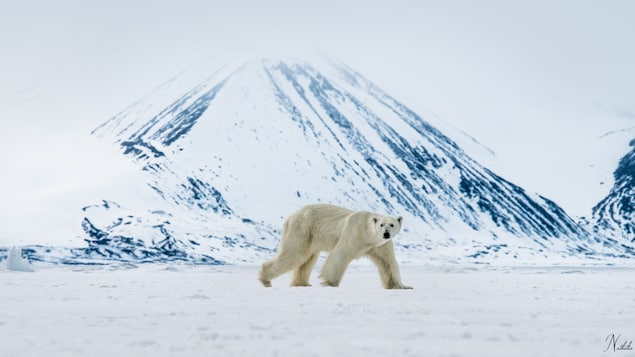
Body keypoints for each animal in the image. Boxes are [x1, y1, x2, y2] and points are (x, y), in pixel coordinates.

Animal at [258, 204, 412, 288]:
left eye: (392, 224)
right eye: (381, 224)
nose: (386, 233)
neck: (368, 235)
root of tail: (290, 217)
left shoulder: (381, 245)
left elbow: (388, 263)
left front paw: (402, 286)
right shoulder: (354, 232)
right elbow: (340, 254)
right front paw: (330, 282)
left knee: (308, 259)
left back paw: (302, 283)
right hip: (303, 228)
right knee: (295, 254)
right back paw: (265, 279)